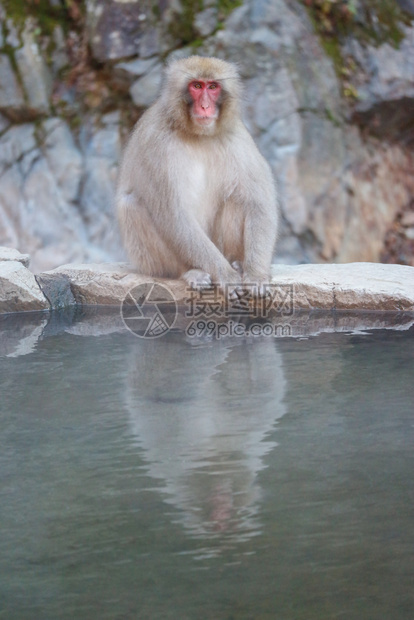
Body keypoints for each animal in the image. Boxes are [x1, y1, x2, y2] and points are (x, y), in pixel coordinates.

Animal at [115, 54, 278, 296]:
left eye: (212, 87)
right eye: (197, 86)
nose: (205, 106)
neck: (197, 134)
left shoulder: (236, 135)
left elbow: (257, 202)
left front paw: (256, 275)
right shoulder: (155, 141)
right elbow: (173, 215)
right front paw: (225, 275)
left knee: (237, 200)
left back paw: (238, 264)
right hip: (148, 261)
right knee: (132, 204)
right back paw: (191, 272)